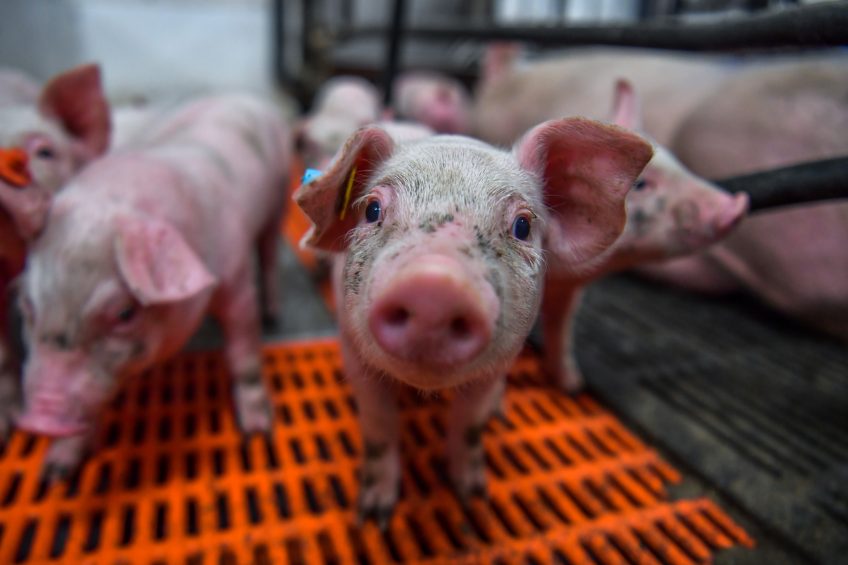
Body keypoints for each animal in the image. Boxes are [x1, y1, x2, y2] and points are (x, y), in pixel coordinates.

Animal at [13, 93, 290, 480]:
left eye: (124, 313)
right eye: (27, 305)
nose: (41, 418)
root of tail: (245, 96)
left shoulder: (236, 281)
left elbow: (244, 354)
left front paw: (258, 431)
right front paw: (55, 473)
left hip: (279, 197)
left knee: (268, 250)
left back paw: (273, 313)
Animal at [294, 118, 652, 520]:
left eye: (522, 226)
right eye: (372, 209)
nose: (434, 285)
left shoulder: (495, 365)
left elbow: (469, 424)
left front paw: (473, 495)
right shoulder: (353, 350)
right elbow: (378, 424)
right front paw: (375, 514)